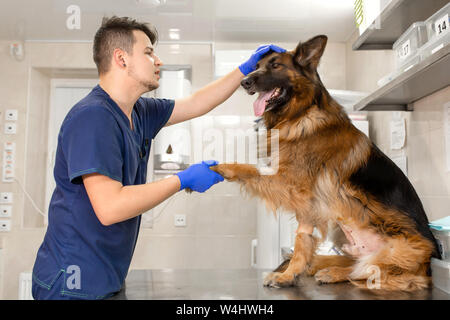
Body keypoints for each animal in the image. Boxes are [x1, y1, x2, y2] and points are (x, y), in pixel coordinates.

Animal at [210, 35, 440, 292]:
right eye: (256, 65)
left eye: (275, 65)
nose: (244, 81)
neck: (300, 114)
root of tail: (428, 268)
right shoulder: (308, 202)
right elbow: (302, 240)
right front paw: (289, 274)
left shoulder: (292, 184)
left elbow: (250, 169)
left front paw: (217, 167)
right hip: (341, 231)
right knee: (354, 263)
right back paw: (323, 266)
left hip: (397, 250)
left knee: (367, 271)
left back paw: (333, 272)